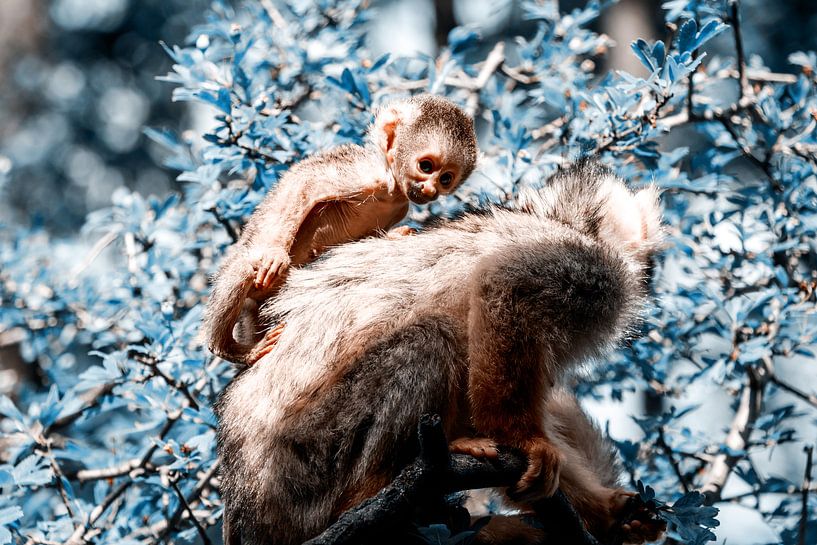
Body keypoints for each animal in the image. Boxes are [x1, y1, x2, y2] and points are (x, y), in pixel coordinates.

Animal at [201, 94, 478, 365]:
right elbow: (304, 180)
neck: (393, 190)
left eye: (445, 179)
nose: (431, 190)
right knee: (244, 267)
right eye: (426, 166)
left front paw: (398, 235)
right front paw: (275, 253)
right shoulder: (366, 173)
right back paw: (229, 349)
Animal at [215, 161, 665, 544]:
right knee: (430, 337)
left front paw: (610, 513)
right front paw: (522, 441)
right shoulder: (586, 268)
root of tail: (246, 511)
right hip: (305, 468)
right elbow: (505, 284)